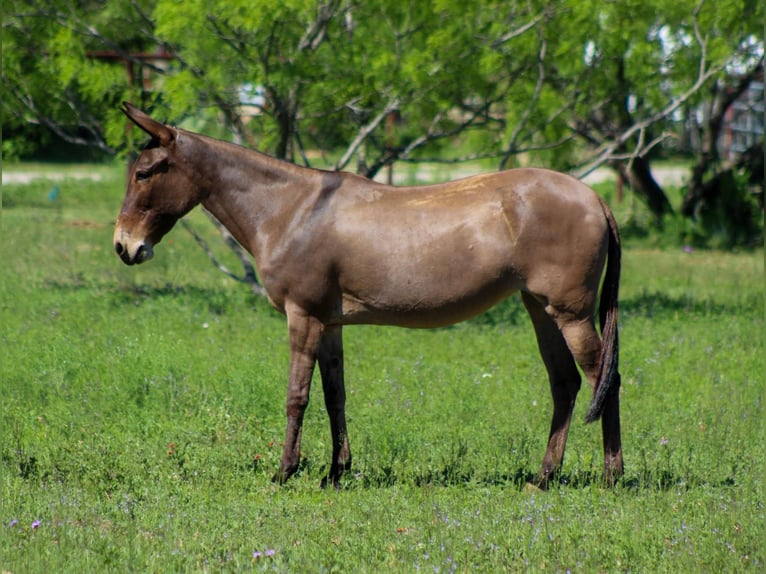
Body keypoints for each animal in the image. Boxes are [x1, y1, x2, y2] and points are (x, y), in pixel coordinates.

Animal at [113, 102, 623, 489]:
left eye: (145, 173)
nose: (124, 246)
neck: (291, 210)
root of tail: (594, 197)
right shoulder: (329, 324)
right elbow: (334, 394)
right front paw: (335, 473)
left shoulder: (302, 317)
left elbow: (297, 395)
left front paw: (285, 471)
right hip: (541, 310)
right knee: (565, 383)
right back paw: (544, 477)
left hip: (572, 315)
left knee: (604, 379)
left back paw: (612, 476)